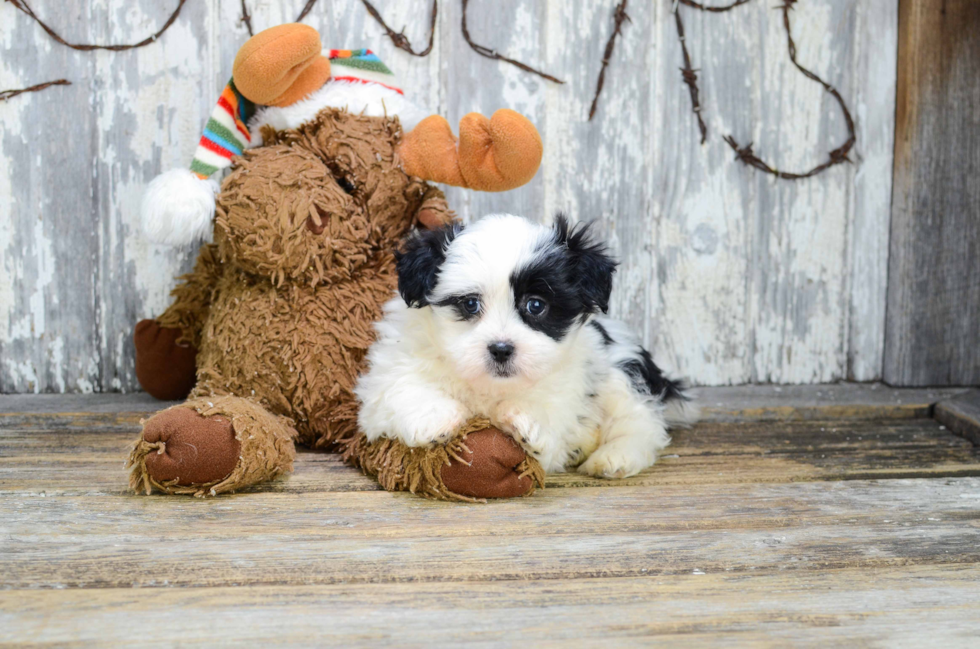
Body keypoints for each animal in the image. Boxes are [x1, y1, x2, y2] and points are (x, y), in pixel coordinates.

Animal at [354, 213, 696, 476]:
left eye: (536, 305)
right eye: (470, 304)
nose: (501, 348)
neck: (490, 387)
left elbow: (551, 414)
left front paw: (528, 422)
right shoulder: (391, 369)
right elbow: (402, 387)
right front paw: (436, 419)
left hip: (619, 369)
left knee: (640, 422)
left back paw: (614, 457)